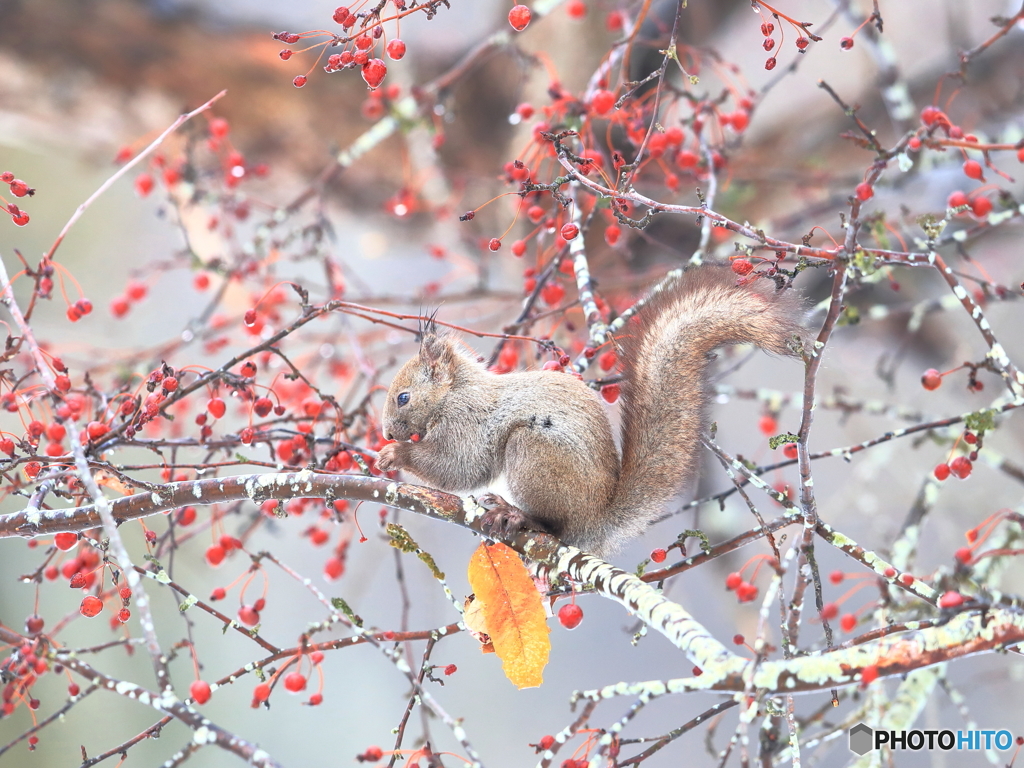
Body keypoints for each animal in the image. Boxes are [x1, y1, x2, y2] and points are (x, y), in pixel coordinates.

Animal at [376, 268, 806, 557]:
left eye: (403, 397)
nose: (388, 433)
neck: (455, 393)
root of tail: (596, 521)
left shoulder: (467, 423)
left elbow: (459, 468)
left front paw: (397, 455)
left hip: (534, 453)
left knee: (556, 525)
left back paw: (520, 516)